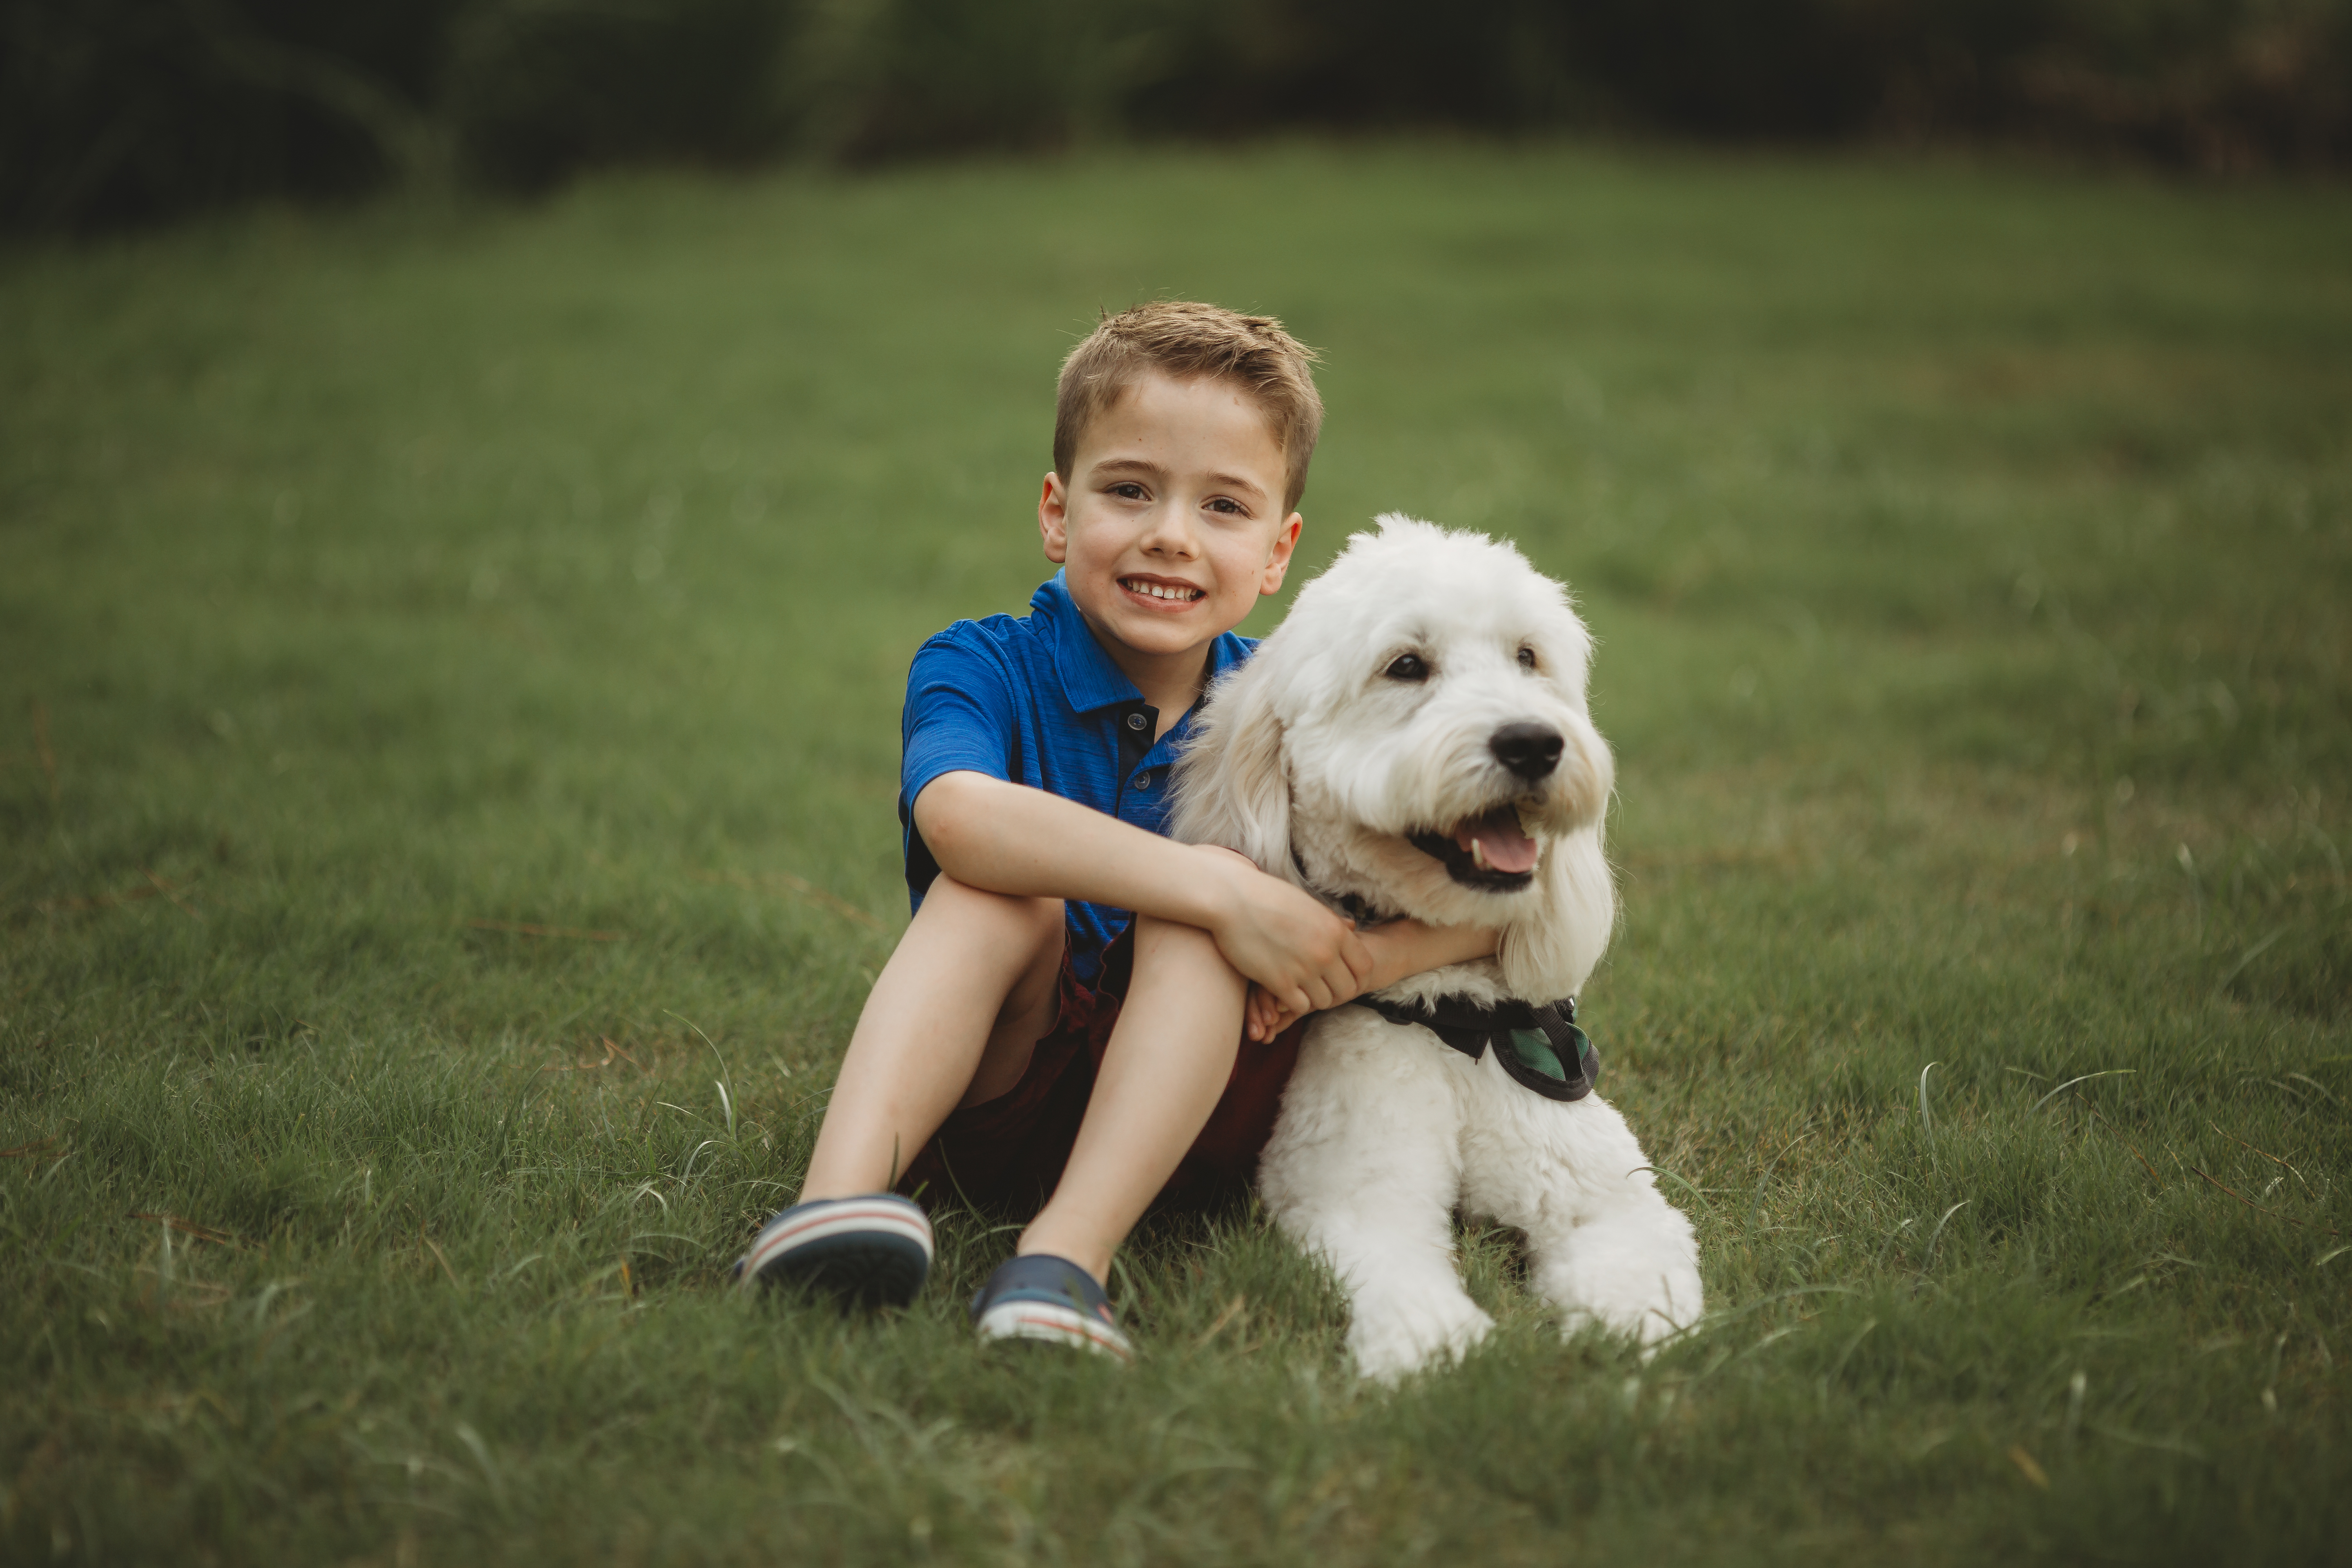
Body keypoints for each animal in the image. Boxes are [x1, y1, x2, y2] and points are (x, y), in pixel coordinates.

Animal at [1171, 517, 1693, 1382]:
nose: (1534, 744)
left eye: (1528, 657)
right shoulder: (1354, 1199)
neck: (1459, 1023)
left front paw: (1626, 1339)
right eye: (1406, 666)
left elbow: (1639, 1269)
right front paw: (1443, 1349)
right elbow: (1400, 1277)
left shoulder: (1607, 1197)